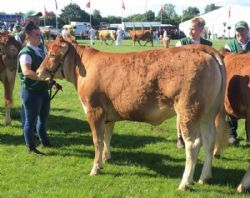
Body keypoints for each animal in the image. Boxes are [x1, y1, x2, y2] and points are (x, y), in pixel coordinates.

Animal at [37, 36, 227, 190]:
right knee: (209, 141)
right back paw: (205, 177)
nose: (38, 72)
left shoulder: (94, 110)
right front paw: (107, 158)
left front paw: (95, 167)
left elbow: (97, 140)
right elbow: (107, 137)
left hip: (188, 111)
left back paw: (185, 183)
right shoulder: (108, 115)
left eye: (52, 54)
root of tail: (202, 48)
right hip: (208, 113)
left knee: (193, 145)